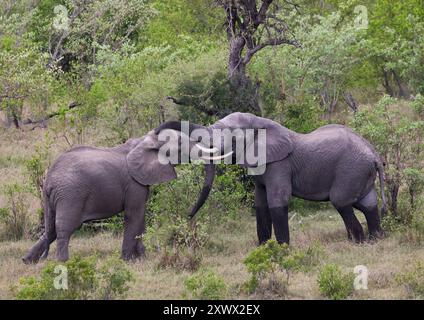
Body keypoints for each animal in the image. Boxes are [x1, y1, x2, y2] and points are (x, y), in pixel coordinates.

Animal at [23, 129, 215, 264]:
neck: (145, 140)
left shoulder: (140, 183)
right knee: (65, 227)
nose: (189, 214)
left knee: (50, 229)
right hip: (70, 195)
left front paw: (142, 258)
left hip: (53, 198)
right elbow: (134, 215)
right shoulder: (134, 183)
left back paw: (28, 260)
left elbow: (140, 217)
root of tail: (49, 179)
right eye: (181, 144)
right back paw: (63, 262)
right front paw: (128, 260)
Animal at [156, 112, 388, 245]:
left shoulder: (279, 164)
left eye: (231, 135)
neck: (261, 123)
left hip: (351, 170)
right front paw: (264, 248)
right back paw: (376, 239)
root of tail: (375, 155)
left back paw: (359, 243)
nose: (187, 216)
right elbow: (260, 204)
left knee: (341, 201)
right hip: (360, 172)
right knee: (368, 204)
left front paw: (283, 249)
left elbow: (277, 201)